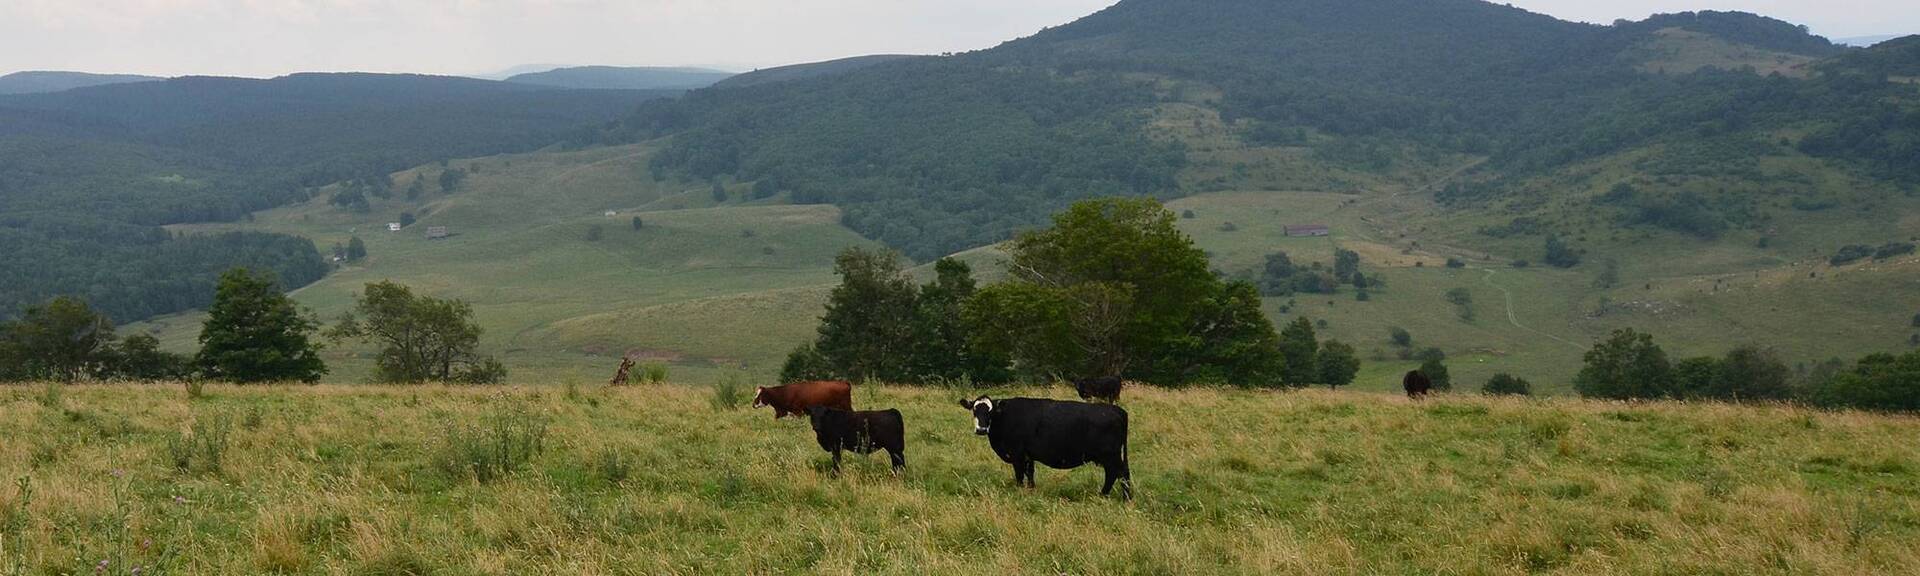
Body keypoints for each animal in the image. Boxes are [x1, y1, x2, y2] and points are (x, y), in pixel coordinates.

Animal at [958, 395, 1132, 499]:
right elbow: (1030, 474)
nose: (981, 429)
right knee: (1116, 474)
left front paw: (1019, 491)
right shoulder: (1028, 455)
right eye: (974, 410)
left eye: (990, 411)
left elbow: (1019, 475)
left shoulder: (1017, 454)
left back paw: (1120, 497)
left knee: (1119, 473)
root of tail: (1116, 410)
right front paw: (1031, 490)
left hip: (1110, 455)